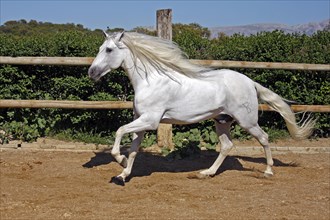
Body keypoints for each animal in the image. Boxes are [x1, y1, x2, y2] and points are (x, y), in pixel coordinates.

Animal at [87, 31, 314, 186]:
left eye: (109, 50)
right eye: (99, 49)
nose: (91, 72)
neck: (150, 80)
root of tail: (250, 82)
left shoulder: (150, 121)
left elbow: (119, 132)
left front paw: (120, 160)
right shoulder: (141, 122)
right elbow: (133, 149)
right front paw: (122, 174)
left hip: (247, 121)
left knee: (264, 138)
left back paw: (267, 171)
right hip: (222, 121)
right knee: (227, 146)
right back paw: (206, 173)